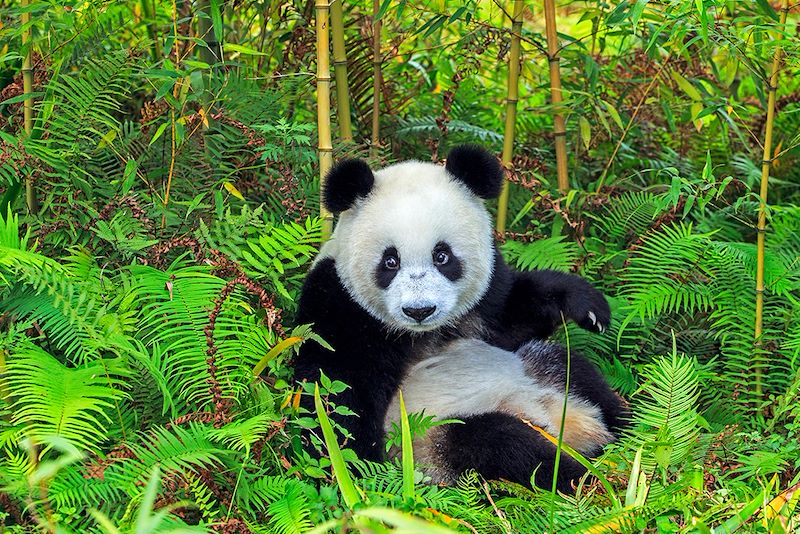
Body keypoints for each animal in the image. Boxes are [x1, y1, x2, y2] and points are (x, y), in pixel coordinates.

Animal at [293, 145, 627, 492]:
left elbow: (512, 316)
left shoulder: (486, 299)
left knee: (574, 371)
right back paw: (584, 478)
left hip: (538, 371)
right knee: (498, 445)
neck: (423, 332)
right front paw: (357, 473)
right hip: (433, 440)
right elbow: (336, 391)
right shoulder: (338, 302)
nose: (419, 310)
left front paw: (588, 307)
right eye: (390, 261)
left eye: (442, 256)